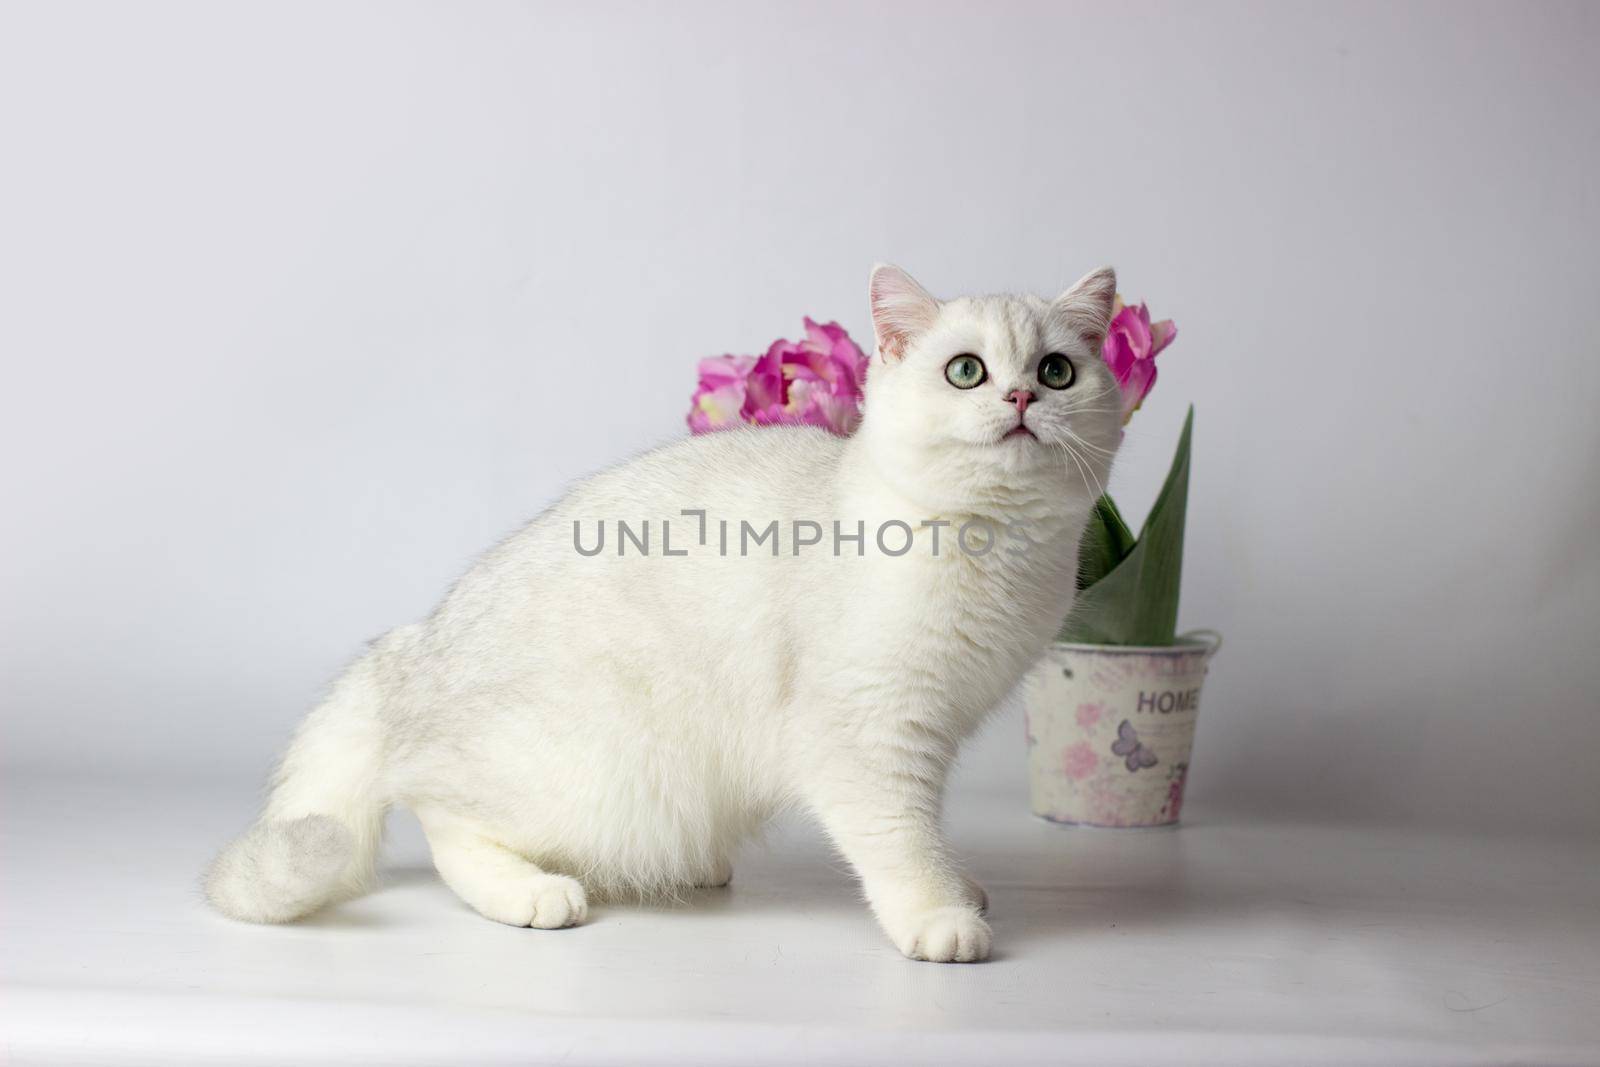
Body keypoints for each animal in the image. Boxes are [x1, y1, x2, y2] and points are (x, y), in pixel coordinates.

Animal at [206, 265, 1120, 959]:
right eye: (966, 370)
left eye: (1057, 371)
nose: (1020, 398)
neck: (998, 550)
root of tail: (410, 645)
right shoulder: (871, 736)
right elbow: (901, 838)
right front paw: (940, 916)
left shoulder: (937, 728)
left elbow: (930, 832)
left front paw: (959, 888)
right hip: (598, 770)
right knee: (442, 817)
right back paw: (534, 892)